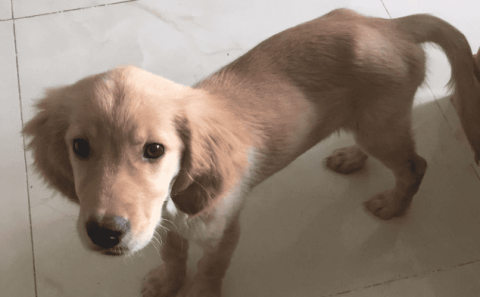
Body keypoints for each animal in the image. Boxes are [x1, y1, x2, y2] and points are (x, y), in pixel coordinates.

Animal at [23, 8, 480, 296]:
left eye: (155, 150)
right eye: (80, 147)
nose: (105, 233)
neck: (175, 201)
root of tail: (393, 25)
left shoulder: (224, 230)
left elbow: (209, 268)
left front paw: (199, 292)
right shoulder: (163, 226)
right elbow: (173, 253)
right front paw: (167, 282)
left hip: (381, 125)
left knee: (415, 165)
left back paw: (394, 205)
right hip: (371, 121)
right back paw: (351, 157)